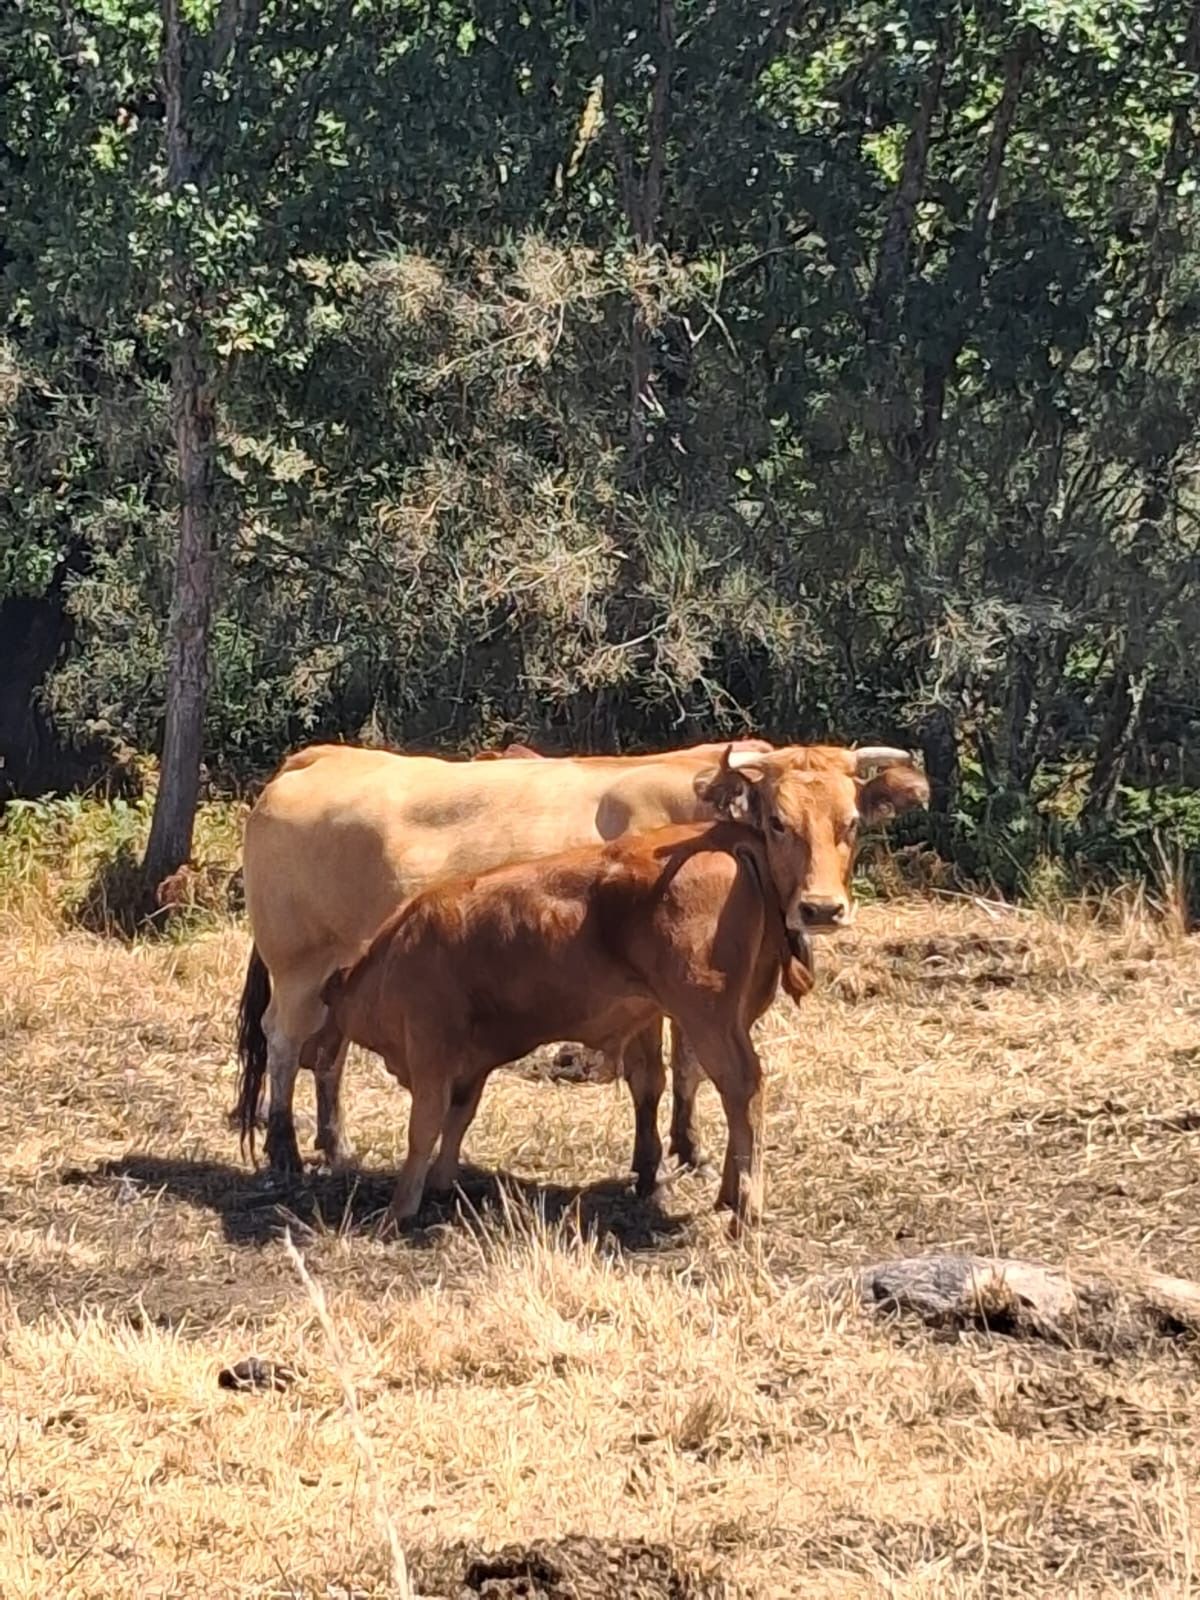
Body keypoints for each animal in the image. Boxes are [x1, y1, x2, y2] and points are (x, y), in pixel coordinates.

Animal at [235, 736, 786, 1176]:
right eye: (779, 819)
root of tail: (321, 755)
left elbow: (690, 1065)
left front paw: (690, 1149)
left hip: (338, 971)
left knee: (328, 1053)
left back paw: (337, 1149)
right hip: (297, 964)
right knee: (283, 1042)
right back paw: (284, 1152)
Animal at [305, 745, 929, 1232]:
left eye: (851, 823)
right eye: (779, 820)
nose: (822, 908)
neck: (405, 943)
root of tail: (728, 841)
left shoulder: (435, 1047)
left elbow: (425, 1125)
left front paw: (400, 1209)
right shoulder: (473, 1060)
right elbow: (456, 1119)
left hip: (709, 1019)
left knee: (743, 1086)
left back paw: (743, 1209)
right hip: (730, 1017)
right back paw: (728, 1193)